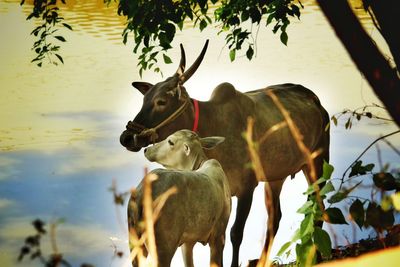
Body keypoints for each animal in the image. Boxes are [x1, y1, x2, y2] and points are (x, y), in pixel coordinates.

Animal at [126, 130, 230, 267]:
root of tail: (142, 193)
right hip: (164, 245)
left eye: (171, 141)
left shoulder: (189, 241)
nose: (146, 149)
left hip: (136, 242)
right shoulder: (219, 235)